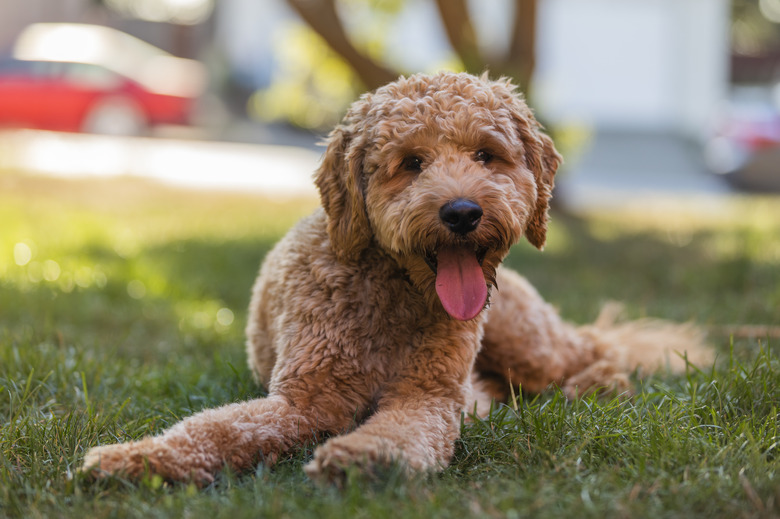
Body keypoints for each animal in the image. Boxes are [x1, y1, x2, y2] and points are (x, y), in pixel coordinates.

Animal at [82, 71, 708, 486]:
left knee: (596, 350)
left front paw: (362, 456)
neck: (394, 291)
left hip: (525, 337)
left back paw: (599, 383)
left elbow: (400, 430)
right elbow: (215, 429)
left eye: (487, 155)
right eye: (411, 162)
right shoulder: (301, 400)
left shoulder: (425, 395)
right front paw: (137, 458)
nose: (462, 212)